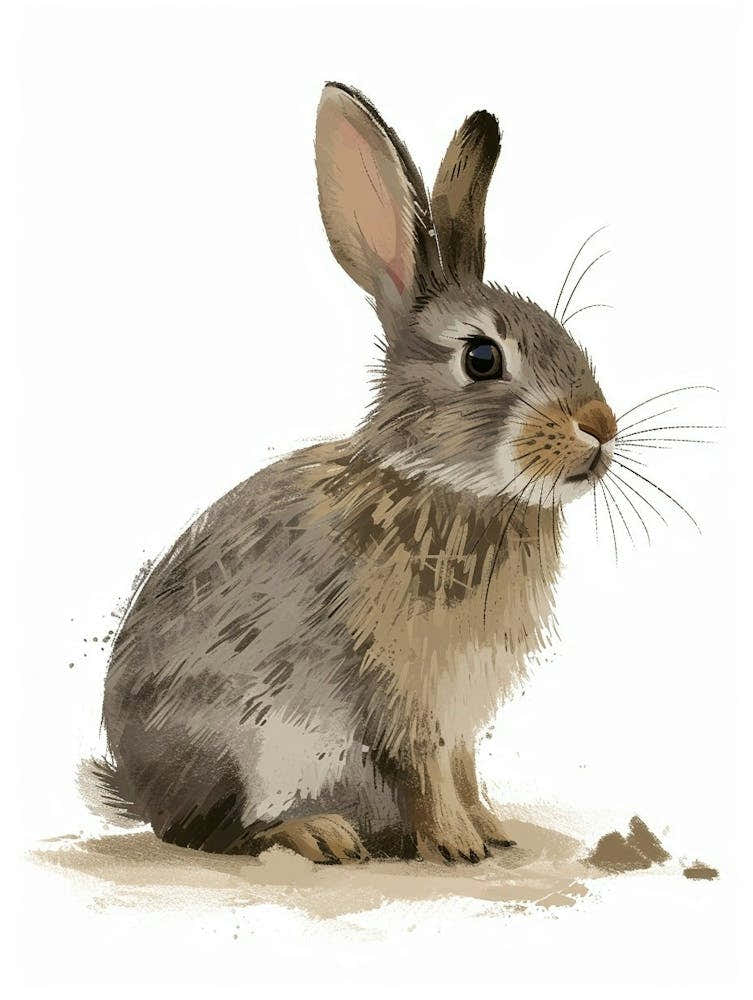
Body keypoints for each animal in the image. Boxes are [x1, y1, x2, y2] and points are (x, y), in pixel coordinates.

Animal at [98, 81, 618, 865]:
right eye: (482, 358)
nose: (601, 428)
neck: (444, 483)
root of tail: (135, 788)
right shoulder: (405, 693)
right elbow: (425, 770)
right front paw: (457, 846)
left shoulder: (462, 712)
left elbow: (464, 770)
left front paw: (490, 832)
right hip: (253, 749)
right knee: (213, 832)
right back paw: (321, 833)